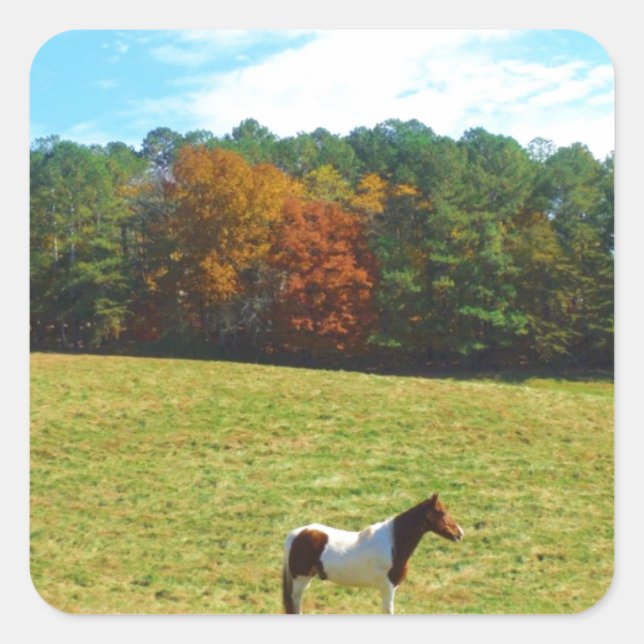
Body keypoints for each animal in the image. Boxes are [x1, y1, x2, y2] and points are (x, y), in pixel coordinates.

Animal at [282, 492, 463, 614]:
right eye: (442, 512)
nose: (460, 533)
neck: (393, 543)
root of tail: (296, 534)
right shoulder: (388, 588)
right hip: (301, 580)